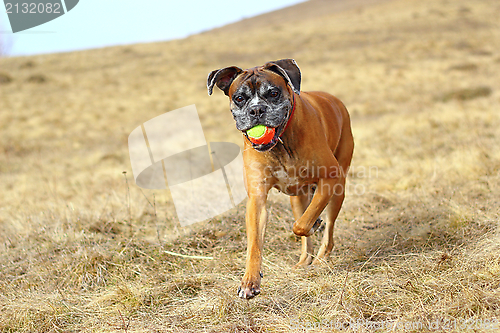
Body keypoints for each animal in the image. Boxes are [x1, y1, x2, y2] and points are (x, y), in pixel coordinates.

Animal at [209, 58, 354, 296]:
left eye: (273, 93)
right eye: (239, 98)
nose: (257, 110)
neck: (281, 144)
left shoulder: (330, 179)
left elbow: (302, 225)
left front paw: (314, 224)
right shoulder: (257, 199)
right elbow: (255, 244)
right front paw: (250, 281)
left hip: (337, 190)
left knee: (327, 232)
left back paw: (320, 259)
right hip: (297, 199)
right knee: (305, 232)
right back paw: (304, 261)